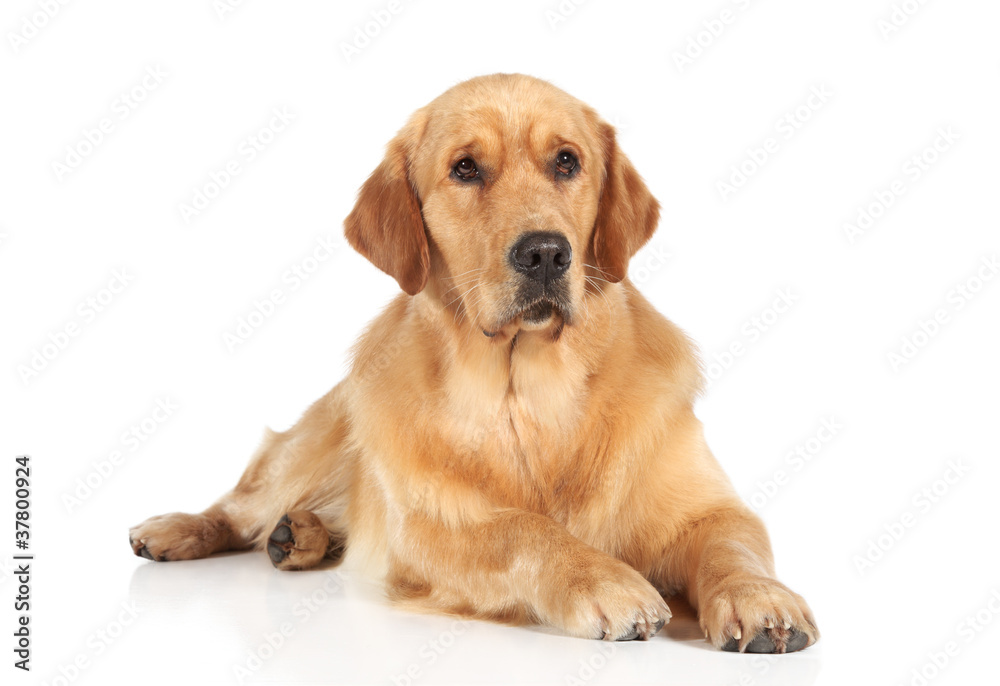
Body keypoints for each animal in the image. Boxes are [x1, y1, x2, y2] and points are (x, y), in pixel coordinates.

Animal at [131, 74, 820, 656]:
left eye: (567, 161)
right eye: (465, 168)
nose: (545, 253)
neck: (529, 393)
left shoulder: (709, 505)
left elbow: (733, 545)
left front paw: (761, 601)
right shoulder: (430, 526)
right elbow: (522, 530)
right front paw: (604, 581)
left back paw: (299, 535)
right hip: (312, 444)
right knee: (241, 502)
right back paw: (179, 529)